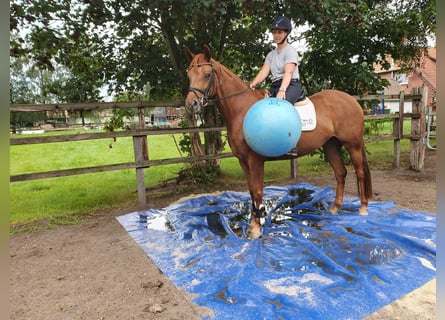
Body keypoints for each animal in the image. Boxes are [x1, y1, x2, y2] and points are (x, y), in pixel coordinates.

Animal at [184, 46, 372, 239]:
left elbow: (258, 191)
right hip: (331, 145)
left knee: (360, 173)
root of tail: (352, 100)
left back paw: (363, 208)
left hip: (353, 144)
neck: (242, 111)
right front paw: (254, 224)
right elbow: (251, 191)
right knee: (340, 173)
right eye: (189, 75)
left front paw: (256, 228)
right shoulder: (243, 161)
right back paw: (335, 208)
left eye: (207, 75)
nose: (191, 104)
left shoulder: (255, 161)